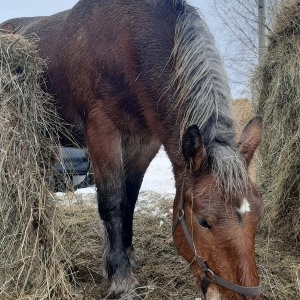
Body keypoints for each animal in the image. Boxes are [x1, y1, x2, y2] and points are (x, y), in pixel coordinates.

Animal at [0, 1, 262, 298]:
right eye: (203, 221)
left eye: (258, 214)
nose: (243, 294)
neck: (128, 41)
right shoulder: (102, 132)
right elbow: (113, 203)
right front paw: (120, 276)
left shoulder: (144, 142)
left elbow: (131, 200)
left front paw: (127, 255)